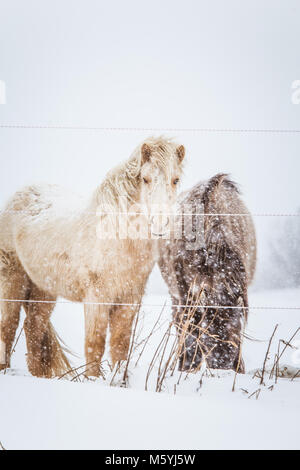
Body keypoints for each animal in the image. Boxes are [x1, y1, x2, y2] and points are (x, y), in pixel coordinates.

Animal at [159, 174, 255, 372]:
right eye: (207, 330)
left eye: (236, 327)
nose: (223, 364)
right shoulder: (185, 293)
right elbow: (189, 330)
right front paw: (187, 365)